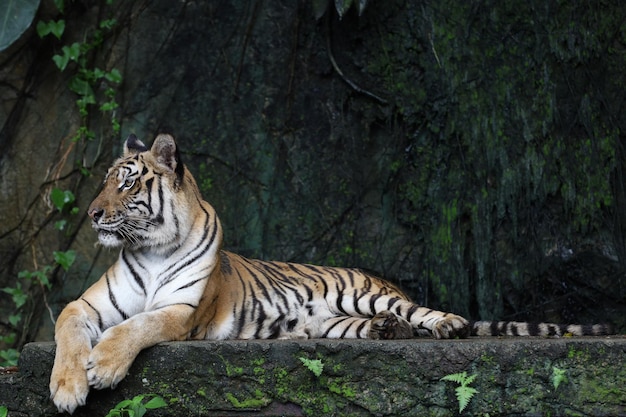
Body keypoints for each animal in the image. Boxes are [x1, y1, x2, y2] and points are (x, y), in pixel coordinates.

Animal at [50, 134, 616, 412]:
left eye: (125, 183)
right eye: (105, 181)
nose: (92, 215)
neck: (149, 249)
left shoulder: (181, 312)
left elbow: (136, 326)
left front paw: (104, 367)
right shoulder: (87, 305)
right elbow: (66, 329)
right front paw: (67, 387)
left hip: (366, 296)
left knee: (426, 311)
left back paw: (445, 325)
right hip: (338, 323)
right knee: (383, 325)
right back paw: (390, 332)